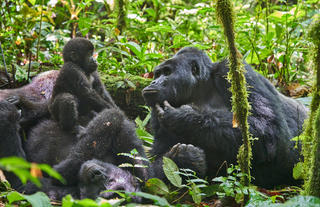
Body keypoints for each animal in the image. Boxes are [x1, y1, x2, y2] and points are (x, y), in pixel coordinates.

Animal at [143, 46, 308, 188]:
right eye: (157, 74)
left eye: (167, 72)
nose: (153, 82)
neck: (200, 89)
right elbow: (150, 170)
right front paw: (183, 158)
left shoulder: (232, 70)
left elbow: (268, 128)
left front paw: (183, 118)